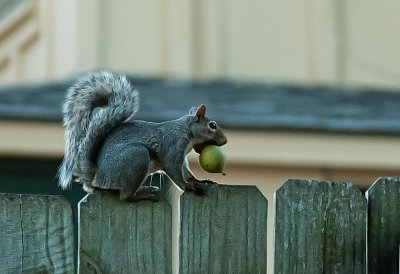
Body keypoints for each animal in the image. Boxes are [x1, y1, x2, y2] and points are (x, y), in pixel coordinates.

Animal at [58, 71, 228, 201]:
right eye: (212, 125)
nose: (225, 141)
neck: (186, 131)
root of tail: (96, 177)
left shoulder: (183, 157)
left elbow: (186, 171)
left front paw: (199, 180)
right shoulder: (173, 146)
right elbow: (173, 169)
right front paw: (188, 187)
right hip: (137, 156)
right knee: (125, 197)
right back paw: (144, 193)